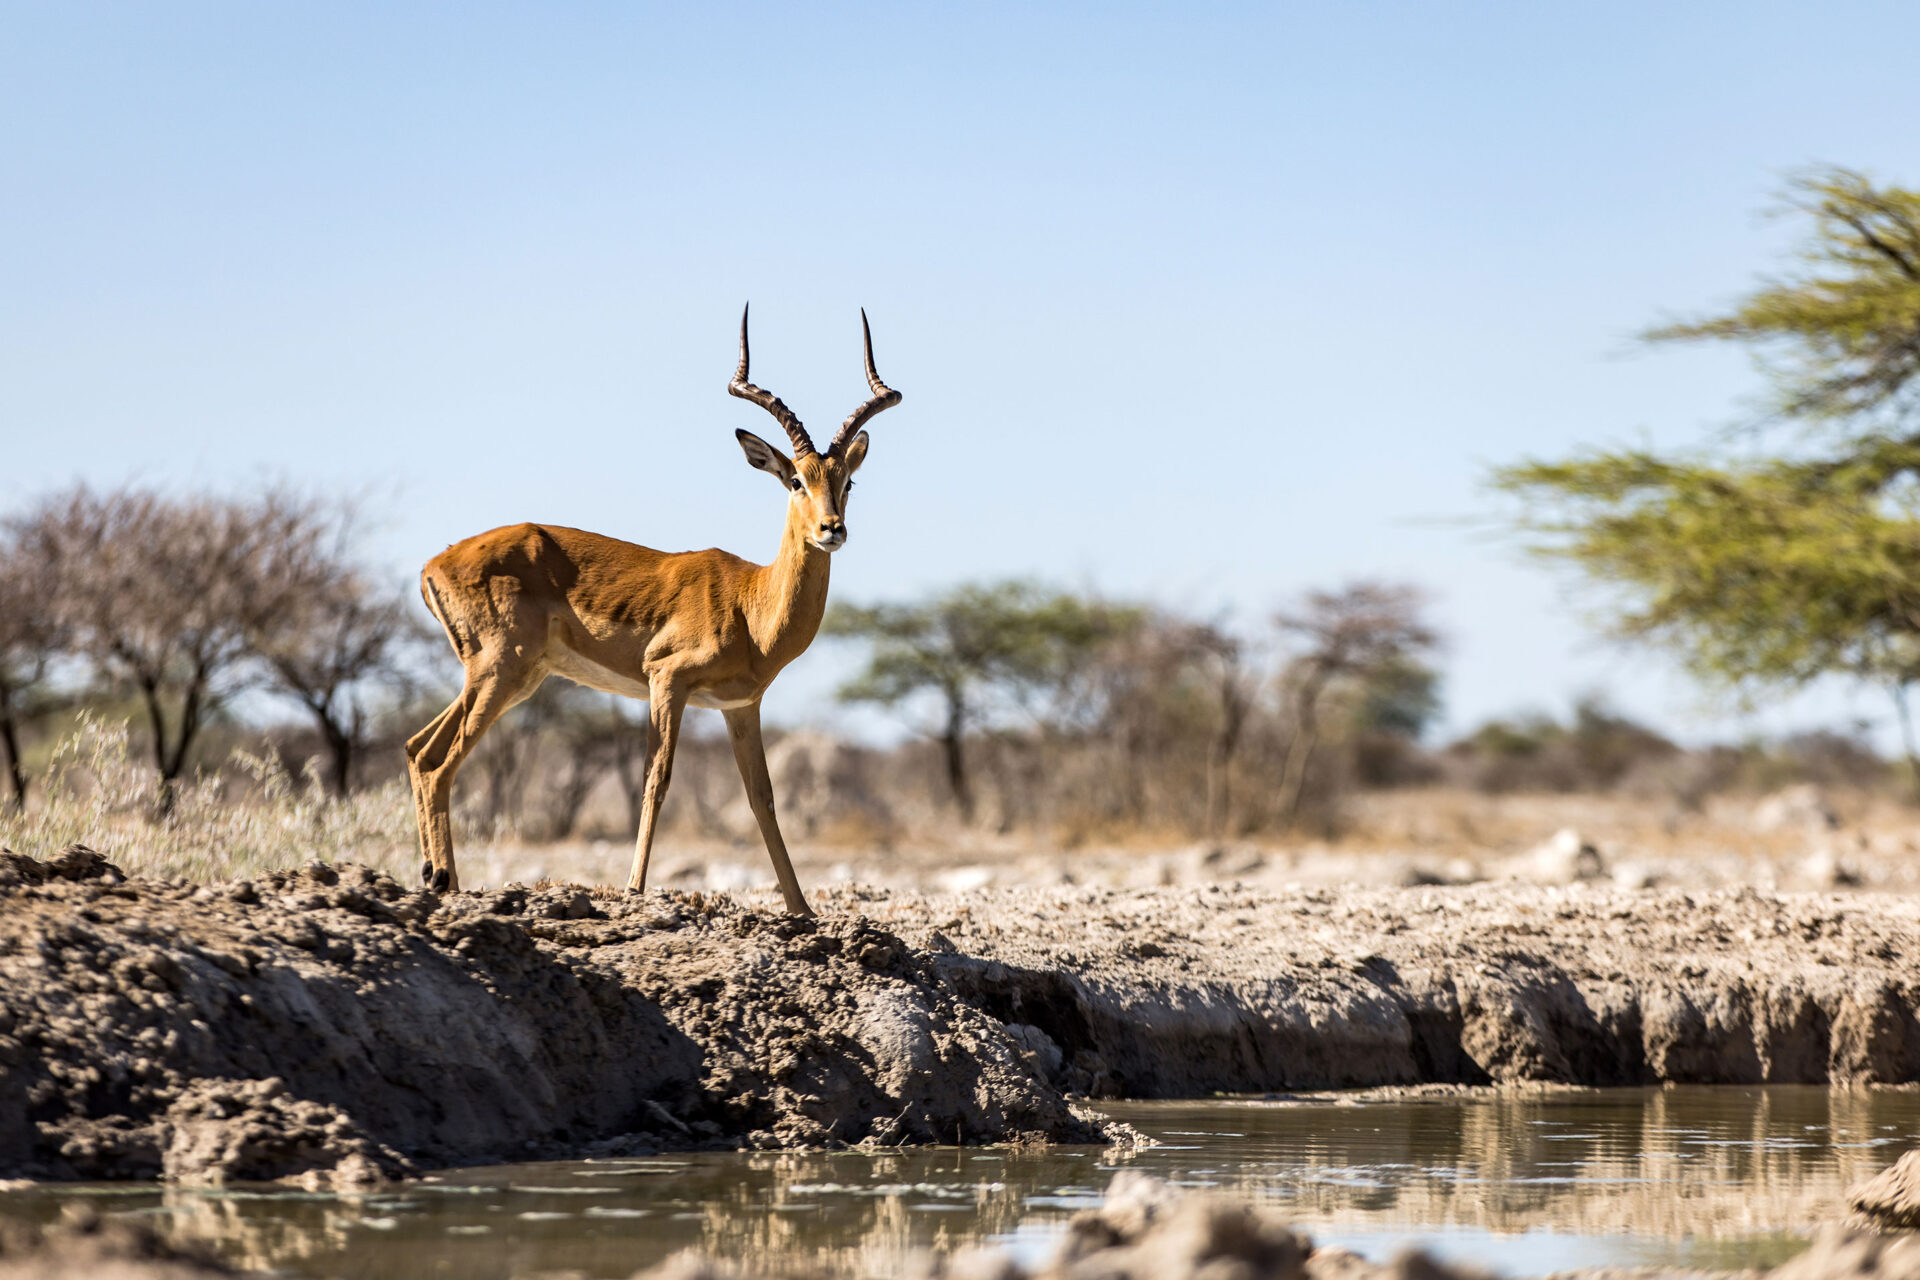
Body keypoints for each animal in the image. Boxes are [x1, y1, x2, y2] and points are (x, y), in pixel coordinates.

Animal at [404, 306, 901, 914]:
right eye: (794, 480)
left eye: (847, 481)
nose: (833, 529)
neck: (750, 605)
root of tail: (435, 563)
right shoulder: (666, 679)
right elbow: (656, 779)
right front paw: (635, 889)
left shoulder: (740, 706)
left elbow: (762, 798)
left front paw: (802, 910)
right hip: (502, 670)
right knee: (438, 763)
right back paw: (443, 884)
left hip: (509, 676)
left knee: (417, 749)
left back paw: (435, 877)